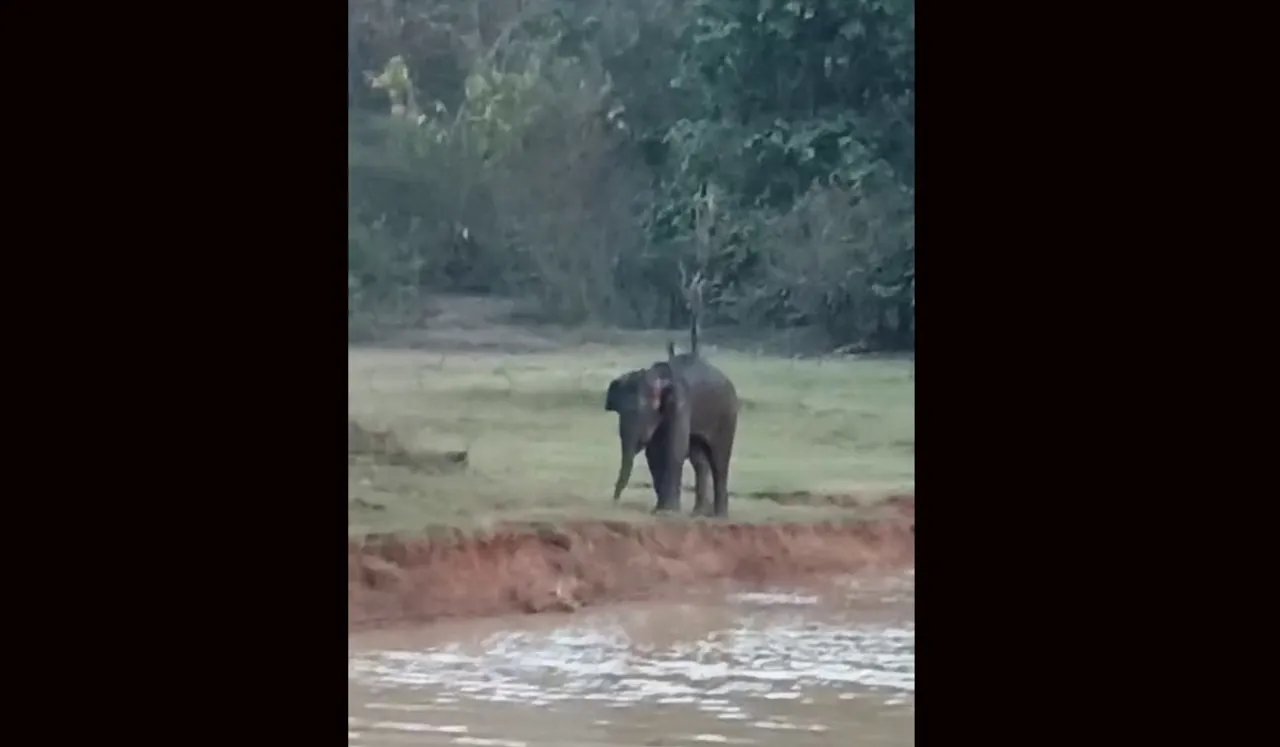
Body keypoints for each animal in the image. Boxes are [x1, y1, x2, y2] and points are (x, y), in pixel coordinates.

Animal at [604, 323, 739, 517]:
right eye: (620, 411)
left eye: (643, 410)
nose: (614, 501)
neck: (657, 375)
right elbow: (654, 453)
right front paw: (660, 509)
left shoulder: (680, 405)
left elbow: (673, 448)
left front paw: (667, 511)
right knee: (699, 459)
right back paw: (698, 513)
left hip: (727, 415)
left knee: (719, 460)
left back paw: (719, 516)